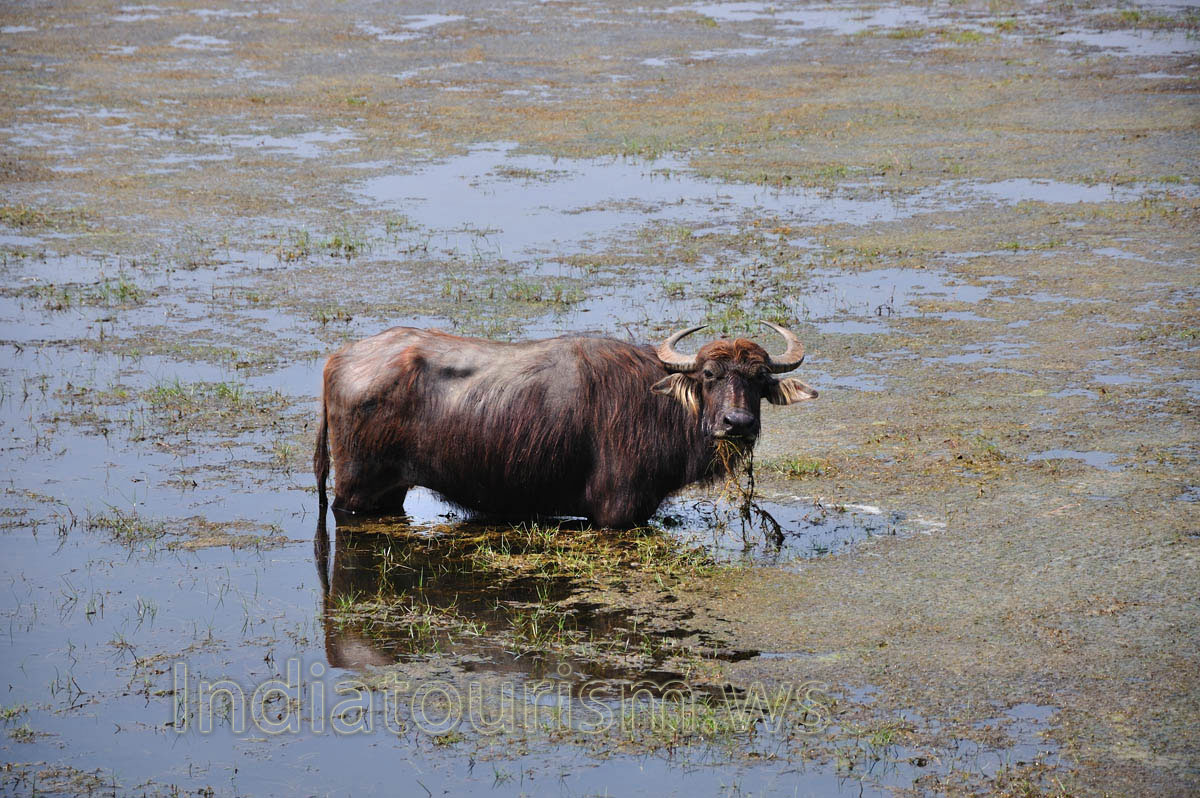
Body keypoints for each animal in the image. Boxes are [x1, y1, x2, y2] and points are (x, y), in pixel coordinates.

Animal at [314, 322, 816, 528]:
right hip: (356, 490)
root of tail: (340, 358)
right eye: (709, 375)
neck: (658, 408)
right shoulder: (617, 513)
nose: (738, 423)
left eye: (759, 378)